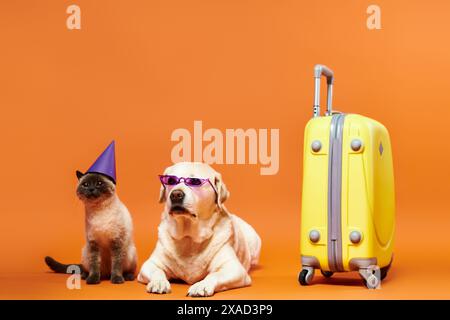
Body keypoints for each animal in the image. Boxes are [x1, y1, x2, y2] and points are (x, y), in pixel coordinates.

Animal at [139, 162, 262, 298]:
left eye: (195, 181)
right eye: (170, 180)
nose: (176, 194)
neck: (189, 237)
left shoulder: (234, 269)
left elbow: (214, 275)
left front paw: (201, 285)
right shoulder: (149, 264)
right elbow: (157, 271)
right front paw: (159, 282)